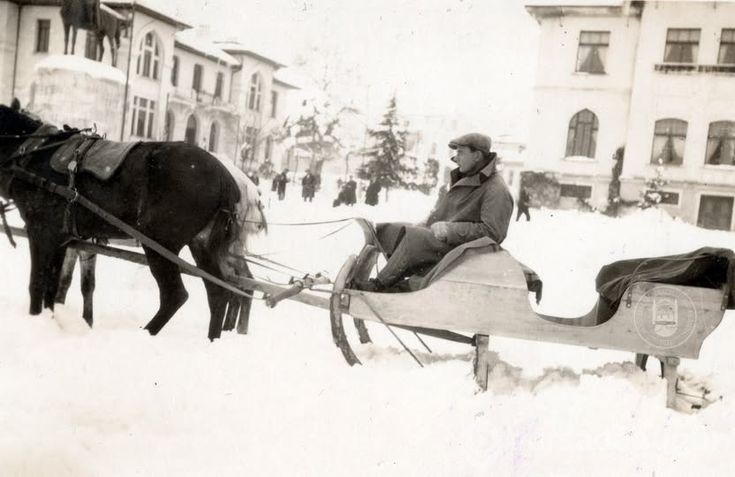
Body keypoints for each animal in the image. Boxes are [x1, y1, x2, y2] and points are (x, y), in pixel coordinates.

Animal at [0, 103, 268, 338]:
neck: (34, 152)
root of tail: (227, 178)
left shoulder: (41, 232)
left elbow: (38, 284)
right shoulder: (63, 239)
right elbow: (55, 286)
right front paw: (55, 321)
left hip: (159, 243)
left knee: (176, 296)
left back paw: (147, 334)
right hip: (202, 245)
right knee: (219, 292)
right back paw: (213, 340)